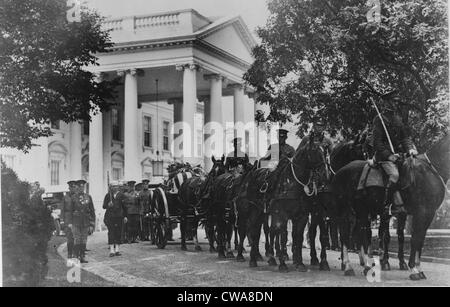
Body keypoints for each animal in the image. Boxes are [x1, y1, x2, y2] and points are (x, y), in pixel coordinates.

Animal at [266, 136, 326, 274]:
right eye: (315, 151)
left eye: (325, 150)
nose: (324, 174)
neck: (292, 183)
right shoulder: (283, 215)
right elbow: (283, 236)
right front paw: (283, 265)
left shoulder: (303, 215)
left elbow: (298, 237)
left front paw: (300, 263)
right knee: (270, 231)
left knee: (274, 231)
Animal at [332, 135, 448, 282]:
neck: (430, 171)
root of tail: (341, 171)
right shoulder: (422, 212)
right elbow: (415, 239)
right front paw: (414, 269)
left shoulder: (428, 214)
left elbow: (419, 240)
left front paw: (418, 268)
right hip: (345, 210)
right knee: (345, 234)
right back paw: (348, 267)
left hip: (361, 211)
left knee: (360, 234)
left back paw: (367, 266)